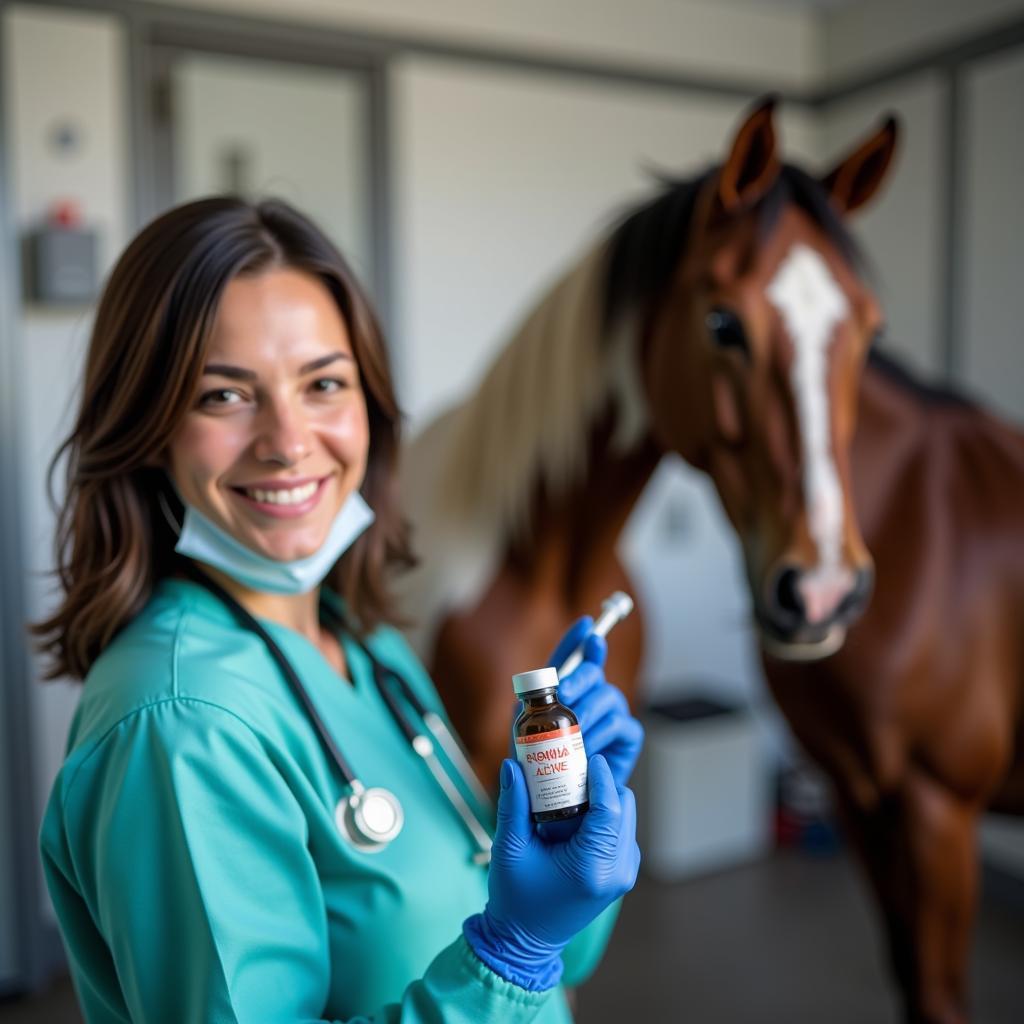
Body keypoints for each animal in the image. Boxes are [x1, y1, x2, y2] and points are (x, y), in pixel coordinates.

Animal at [397, 97, 1024, 1024]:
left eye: (870, 330)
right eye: (723, 323)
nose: (824, 591)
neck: (544, 557)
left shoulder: (927, 809)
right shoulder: (903, 803)